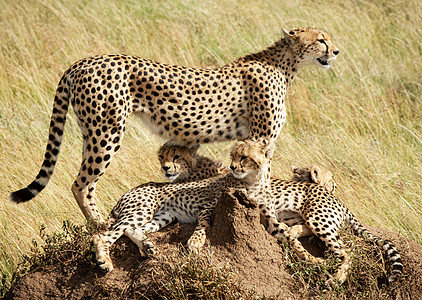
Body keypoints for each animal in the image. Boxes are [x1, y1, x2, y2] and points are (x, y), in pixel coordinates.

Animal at [9, 27, 340, 223]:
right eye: (321, 39)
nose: (336, 51)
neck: (285, 65)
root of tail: (82, 61)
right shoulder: (262, 136)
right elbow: (264, 176)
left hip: (92, 131)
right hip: (107, 132)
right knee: (81, 183)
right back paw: (100, 224)